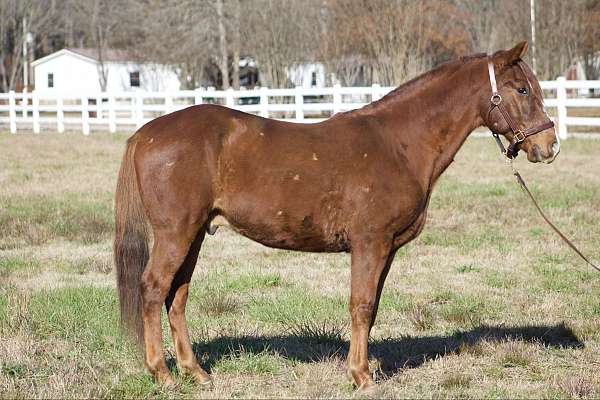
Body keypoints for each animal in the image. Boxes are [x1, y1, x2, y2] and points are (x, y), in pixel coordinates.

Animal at [116, 41, 556, 390]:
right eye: (521, 89)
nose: (549, 146)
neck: (398, 144)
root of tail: (145, 133)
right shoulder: (370, 243)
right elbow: (360, 305)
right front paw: (361, 377)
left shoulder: (387, 249)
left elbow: (371, 309)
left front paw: (363, 369)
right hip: (175, 233)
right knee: (153, 288)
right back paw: (163, 374)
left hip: (194, 235)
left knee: (177, 295)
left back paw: (196, 371)